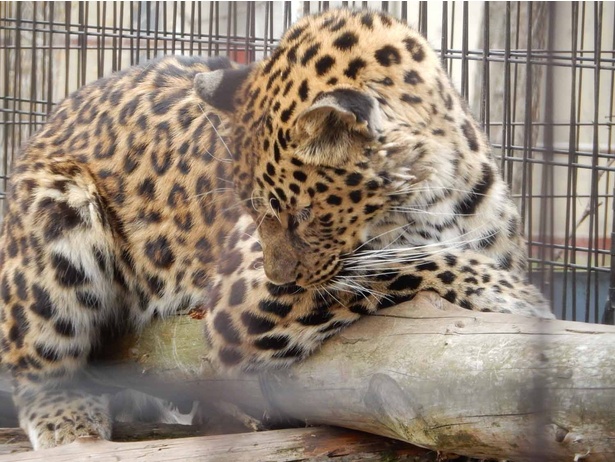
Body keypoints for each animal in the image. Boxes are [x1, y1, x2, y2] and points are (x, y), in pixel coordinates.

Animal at [0, 8, 552, 452]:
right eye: (255, 211)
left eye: (302, 214)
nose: (281, 277)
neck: (436, 195)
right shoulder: (244, 296)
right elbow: (401, 262)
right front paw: (511, 294)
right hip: (56, 209)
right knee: (33, 357)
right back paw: (69, 419)